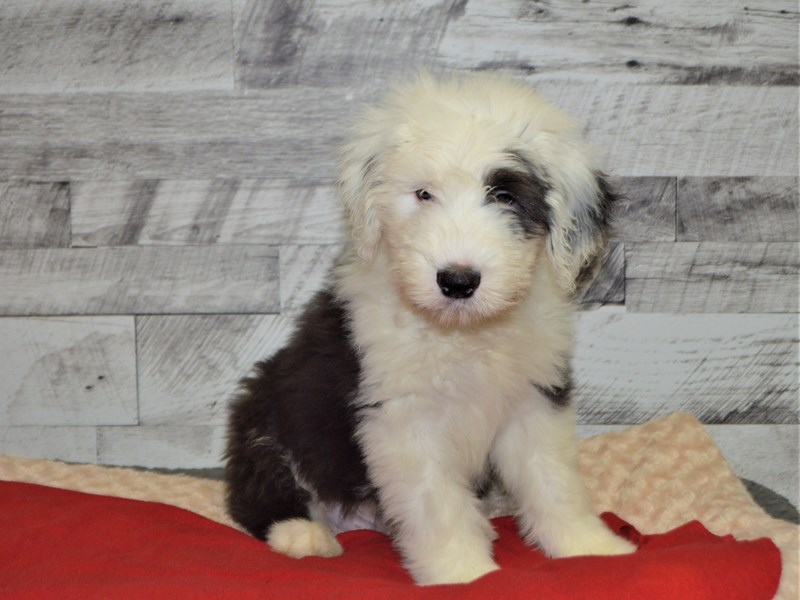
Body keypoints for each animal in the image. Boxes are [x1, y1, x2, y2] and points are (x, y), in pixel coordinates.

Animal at [222, 72, 636, 584]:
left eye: (504, 196)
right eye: (423, 194)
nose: (457, 281)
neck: (463, 335)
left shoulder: (534, 398)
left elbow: (553, 480)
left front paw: (590, 547)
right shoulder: (402, 417)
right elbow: (436, 503)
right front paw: (465, 572)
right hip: (265, 409)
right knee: (257, 491)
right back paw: (303, 535)